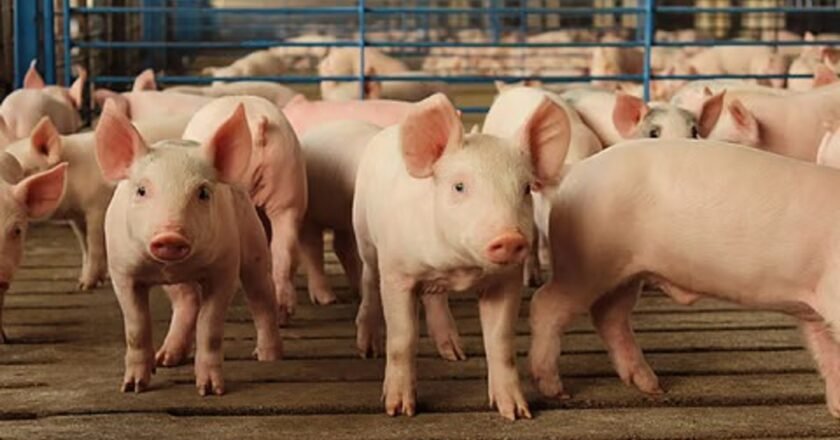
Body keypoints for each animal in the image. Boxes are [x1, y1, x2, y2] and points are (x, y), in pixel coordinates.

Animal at [3, 110, 191, 289]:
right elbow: (85, 246)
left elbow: (94, 245)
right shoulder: (77, 217)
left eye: (25, 171)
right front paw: (85, 281)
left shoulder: (97, 208)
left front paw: (86, 285)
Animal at [95, 103, 282, 395]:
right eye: (141, 190)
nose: (170, 236)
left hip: (254, 245)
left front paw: (210, 391)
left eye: (203, 192)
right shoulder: (122, 271)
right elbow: (136, 327)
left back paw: (268, 357)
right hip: (176, 284)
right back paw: (166, 359)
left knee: (262, 296)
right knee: (187, 300)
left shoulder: (224, 268)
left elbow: (210, 328)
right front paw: (133, 387)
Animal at [352, 93, 568, 419]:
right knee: (368, 278)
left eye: (526, 189)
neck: (456, 268)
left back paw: (455, 354)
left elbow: (500, 341)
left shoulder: (505, 281)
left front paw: (517, 413)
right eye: (459, 186)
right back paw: (367, 348)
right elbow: (403, 338)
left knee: (434, 297)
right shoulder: (398, 272)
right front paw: (399, 410)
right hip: (364, 234)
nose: (509, 238)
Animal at [529, 138, 840, 419]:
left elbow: (827, 352)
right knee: (546, 303)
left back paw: (651, 387)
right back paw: (556, 390)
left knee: (609, 315)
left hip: (627, 272)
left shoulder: (814, 307)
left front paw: (836, 409)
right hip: (587, 261)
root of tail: (574, 171)